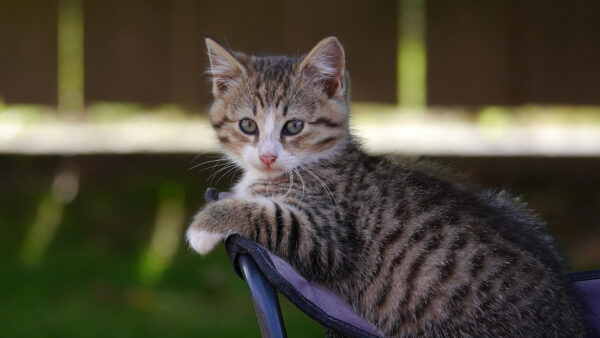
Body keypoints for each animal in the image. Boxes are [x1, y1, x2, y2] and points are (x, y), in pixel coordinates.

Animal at [186, 36, 584, 336]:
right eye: (248, 125)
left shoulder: (329, 237)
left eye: (294, 126)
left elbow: (272, 217)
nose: (267, 156)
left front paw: (202, 227)